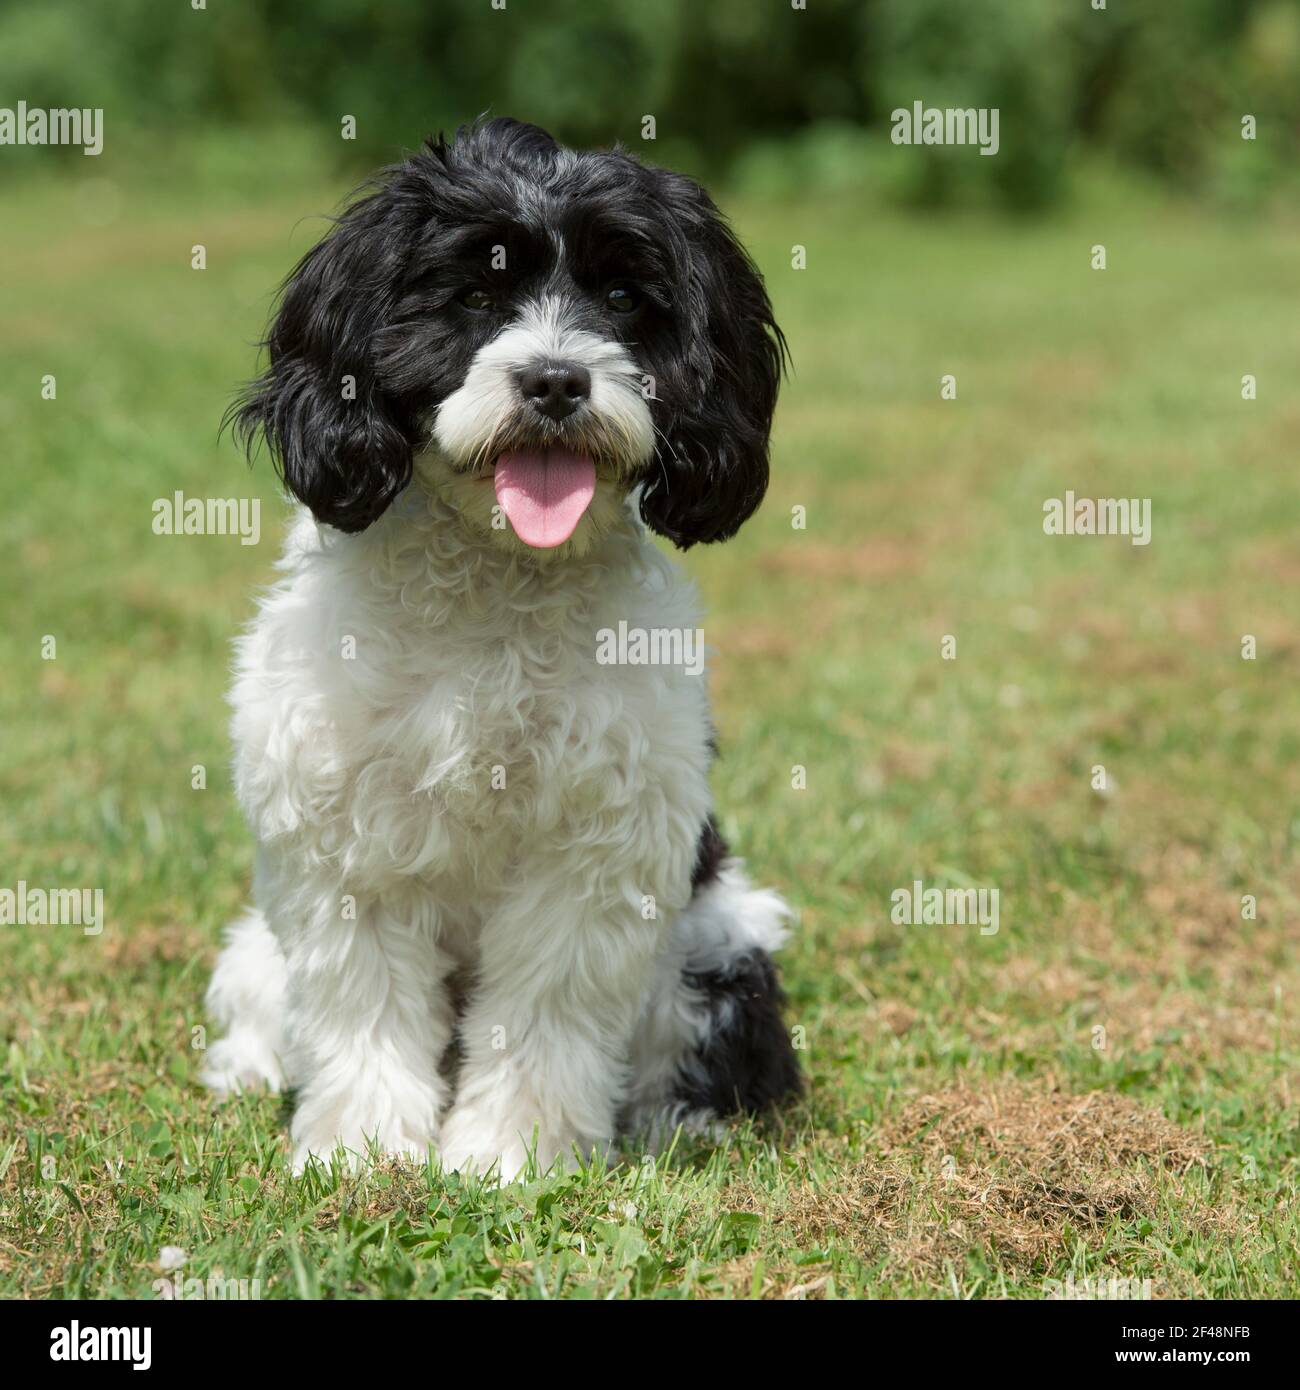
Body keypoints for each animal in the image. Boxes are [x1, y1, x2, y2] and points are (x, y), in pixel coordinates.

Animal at [200, 119, 800, 1178]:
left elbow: (544, 1012)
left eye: (623, 300)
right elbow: (363, 1006)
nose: (555, 378)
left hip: (716, 946)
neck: (495, 581)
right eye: (475, 297)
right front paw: (360, 1147)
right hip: (256, 957)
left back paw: (679, 1124)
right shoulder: (343, 839)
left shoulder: (596, 852)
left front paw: (509, 1157)